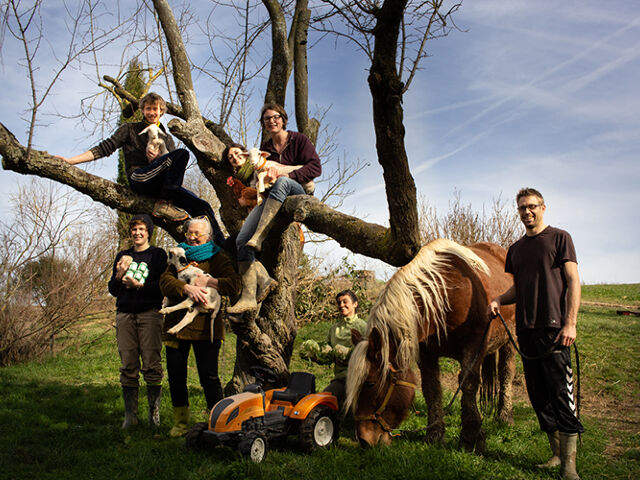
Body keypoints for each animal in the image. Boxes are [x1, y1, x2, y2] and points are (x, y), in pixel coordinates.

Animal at [344, 240, 516, 454]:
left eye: (370, 383)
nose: (364, 440)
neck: (447, 295)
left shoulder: (474, 345)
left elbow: (468, 385)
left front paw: (471, 438)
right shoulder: (426, 353)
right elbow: (431, 388)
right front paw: (434, 435)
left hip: (510, 339)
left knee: (507, 373)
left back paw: (505, 415)